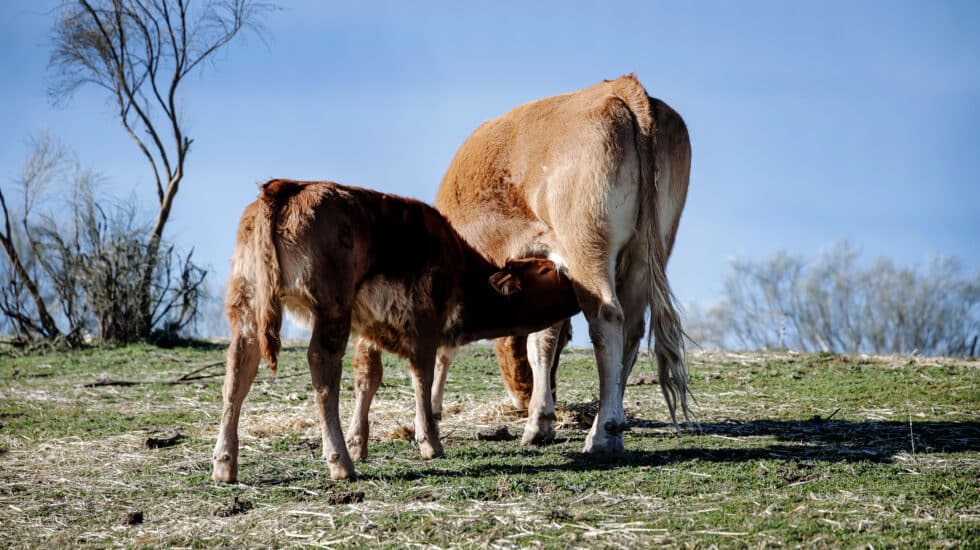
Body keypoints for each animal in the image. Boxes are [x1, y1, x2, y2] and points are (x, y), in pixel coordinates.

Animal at [212, 181, 580, 484]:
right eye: (546, 270)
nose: (574, 277)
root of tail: (286, 186)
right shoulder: (425, 325)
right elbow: (422, 377)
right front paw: (429, 441)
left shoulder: (368, 331)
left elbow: (368, 379)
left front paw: (359, 442)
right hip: (332, 308)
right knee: (322, 369)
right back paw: (340, 462)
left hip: (247, 306)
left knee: (237, 373)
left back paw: (225, 464)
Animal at [432, 73, 692, 452]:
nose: (522, 398)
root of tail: (622, 87)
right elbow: (544, 338)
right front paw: (540, 420)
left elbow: (446, 344)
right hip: (647, 253)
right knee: (632, 328)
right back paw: (607, 429)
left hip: (587, 246)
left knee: (607, 319)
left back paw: (602, 433)